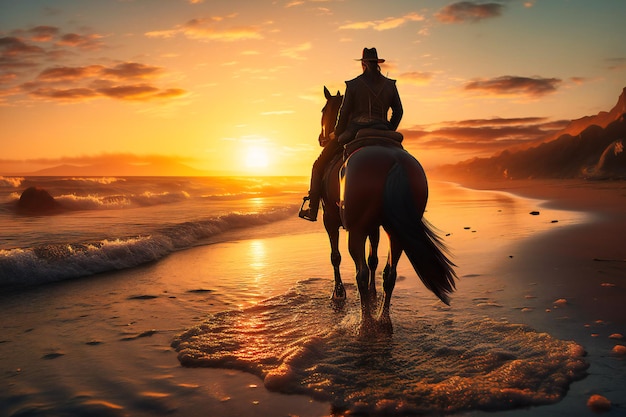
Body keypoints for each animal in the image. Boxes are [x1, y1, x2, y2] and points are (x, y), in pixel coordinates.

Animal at [316, 86, 454, 334]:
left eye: (324, 110)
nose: (322, 138)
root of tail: (394, 161)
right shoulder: (375, 226)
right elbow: (374, 259)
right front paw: (372, 292)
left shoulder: (329, 219)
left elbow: (336, 256)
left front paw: (338, 293)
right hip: (397, 231)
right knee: (390, 273)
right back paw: (383, 320)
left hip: (356, 230)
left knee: (360, 272)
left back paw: (366, 324)